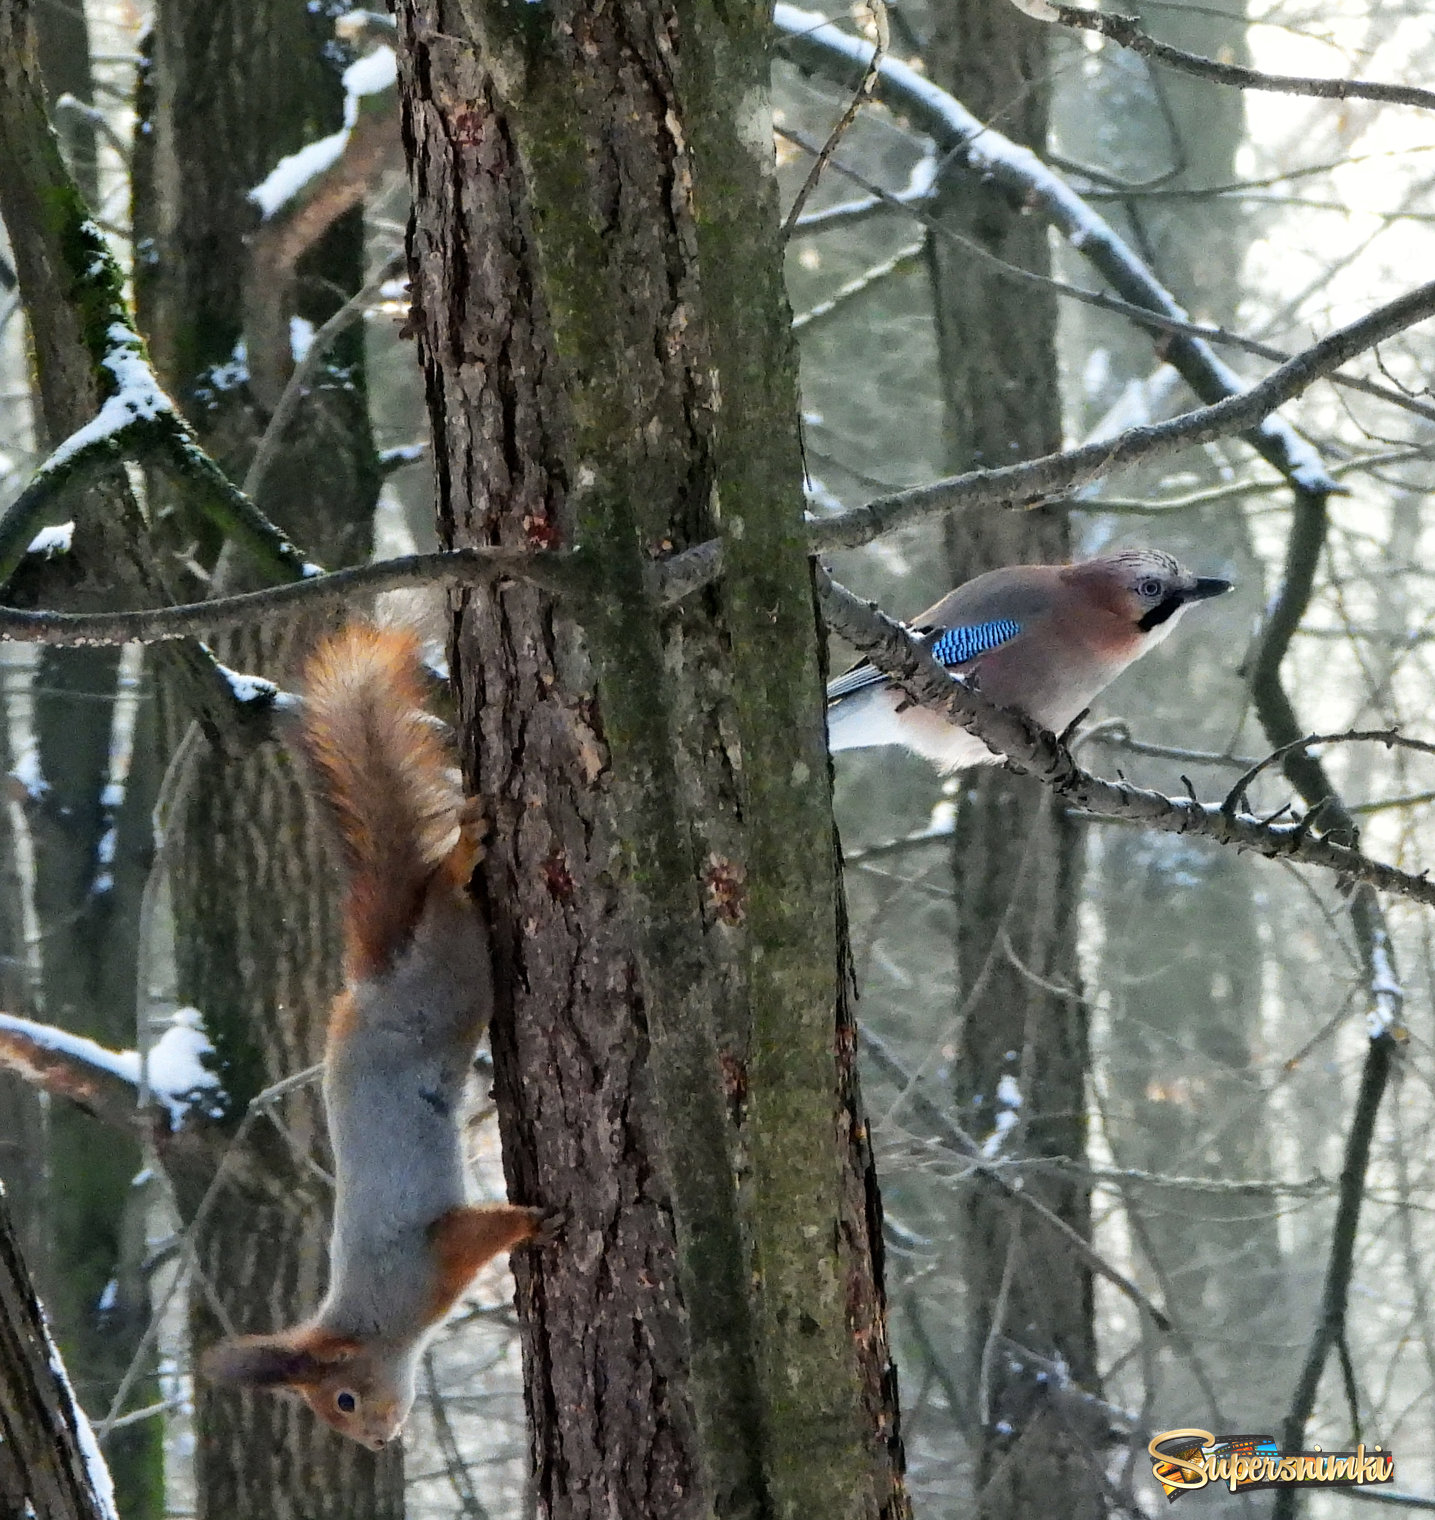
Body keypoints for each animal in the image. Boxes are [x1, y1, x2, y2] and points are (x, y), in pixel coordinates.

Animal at [196, 623, 544, 1453]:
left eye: (344, 1399)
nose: (379, 1443)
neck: (375, 1317)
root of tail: (372, 981)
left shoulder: (426, 1257)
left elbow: (477, 1233)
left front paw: (534, 1221)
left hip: (452, 973)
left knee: (445, 896)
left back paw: (460, 853)